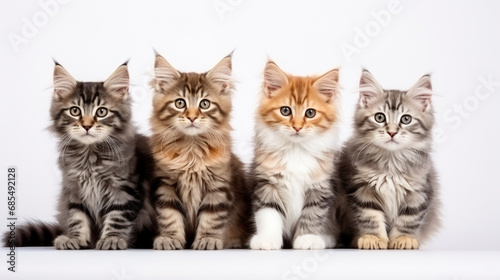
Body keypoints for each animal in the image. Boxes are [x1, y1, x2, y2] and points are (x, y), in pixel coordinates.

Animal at [2, 61, 155, 249]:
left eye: (101, 112)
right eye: (75, 111)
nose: (87, 126)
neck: (89, 157)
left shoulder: (126, 190)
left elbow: (117, 218)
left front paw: (112, 239)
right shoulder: (73, 189)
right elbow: (77, 217)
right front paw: (74, 239)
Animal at [148, 53, 250, 250]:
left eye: (205, 104)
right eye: (180, 103)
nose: (192, 117)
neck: (191, 149)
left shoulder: (218, 185)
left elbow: (212, 218)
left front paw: (207, 239)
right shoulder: (165, 183)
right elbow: (169, 215)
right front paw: (169, 238)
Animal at [249, 60, 340, 249]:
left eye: (310, 113)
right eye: (285, 111)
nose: (297, 127)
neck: (296, 151)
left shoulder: (320, 187)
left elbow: (312, 215)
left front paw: (307, 239)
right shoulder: (267, 183)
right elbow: (268, 214)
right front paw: (267, 239)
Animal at [334, 70, 440, 249]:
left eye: (406, 119)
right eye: (379, 117)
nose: (391, 132)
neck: (391, 162)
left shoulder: (420, 190)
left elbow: (409, 218)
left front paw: (403, 238)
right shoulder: (362, 188)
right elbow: (371, 216)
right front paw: (373, 238)